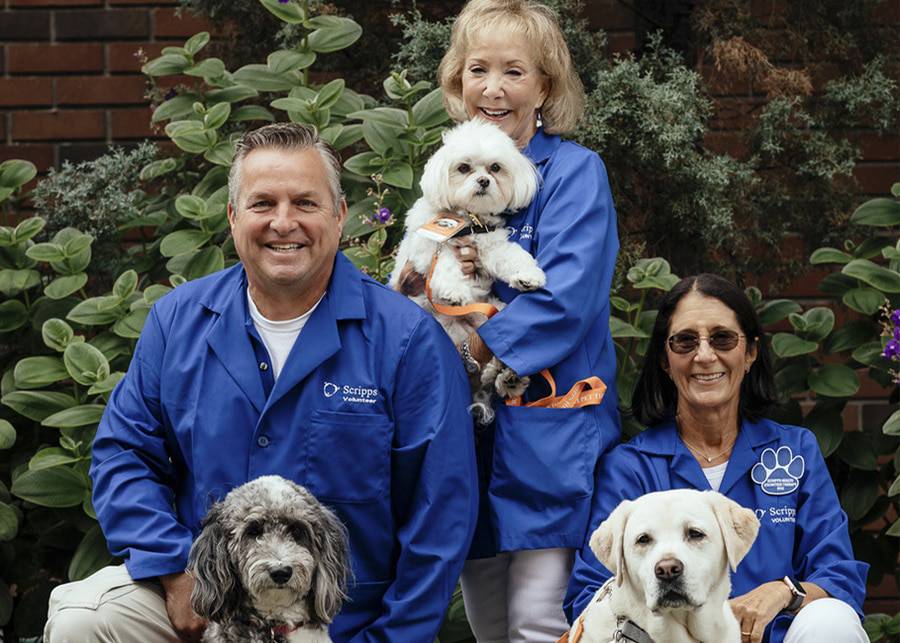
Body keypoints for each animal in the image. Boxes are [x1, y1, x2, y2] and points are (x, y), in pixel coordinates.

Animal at [390, 121, 544, 422]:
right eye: (463, 168)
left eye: (495, 168)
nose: (484, 181)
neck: (467, 220)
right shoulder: (428, 246)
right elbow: (446, 261)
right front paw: (453, 290)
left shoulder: (492, 245)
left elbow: (511, 256)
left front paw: (527, 276)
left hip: (491, 313)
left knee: (493, 364)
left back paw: (509, 378)